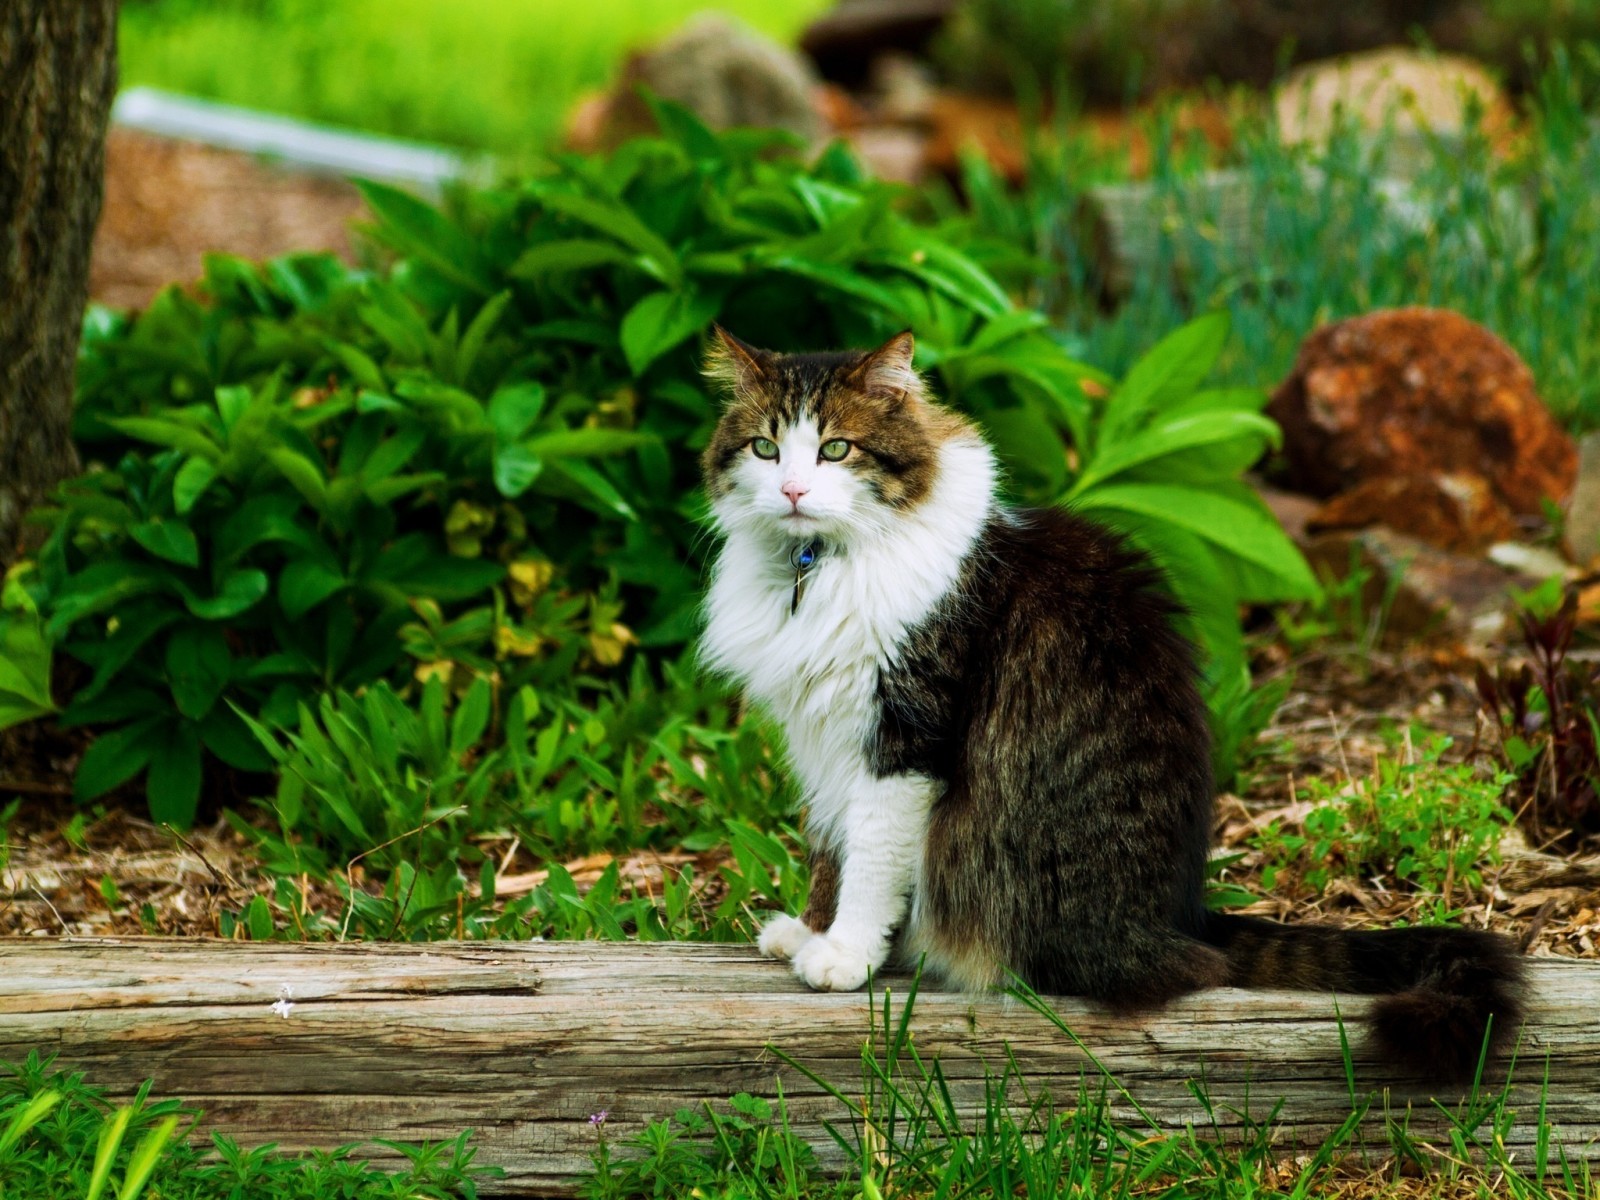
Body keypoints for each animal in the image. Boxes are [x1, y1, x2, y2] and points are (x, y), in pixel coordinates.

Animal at [700, 326, 1523, 1081]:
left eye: (835, 450)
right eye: (766, 450)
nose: (794, 492)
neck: (813, 570)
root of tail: (1179, 921)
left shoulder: (903, 737)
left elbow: (869, 860)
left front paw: (844, 955)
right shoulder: (824, 741)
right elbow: (829, 849)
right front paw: (810, 932)